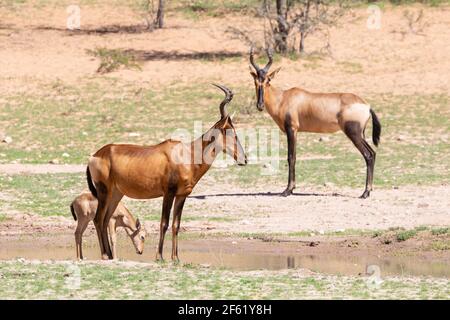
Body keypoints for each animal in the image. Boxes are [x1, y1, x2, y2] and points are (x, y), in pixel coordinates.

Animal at [86, 84, 248, 262]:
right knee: (98, 219)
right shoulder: (168, 193)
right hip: (104, 191)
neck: (187, 153)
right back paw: (104, 255)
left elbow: (176, 225)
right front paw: (160, 257)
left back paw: (109, 255)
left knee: (106, 219)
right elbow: (164, 223)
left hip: (116, 193)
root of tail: (95, 155)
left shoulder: (182, 195)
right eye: (231, 132)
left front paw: (176, 258)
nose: (244, 159)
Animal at [248, 47, 382, 199]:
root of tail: (367, 106)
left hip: (353, 133)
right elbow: (293, 157)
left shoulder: (291, 129)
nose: (260, 105)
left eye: (268, 81)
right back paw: (368, 190)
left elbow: (291, 157)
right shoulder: (295, 132)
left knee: (368, 155)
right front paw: (291, 189)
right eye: (256, 81)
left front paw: (287, 190)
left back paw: (365, 192)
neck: (283, 98)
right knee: (373, 153)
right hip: (361, 133)